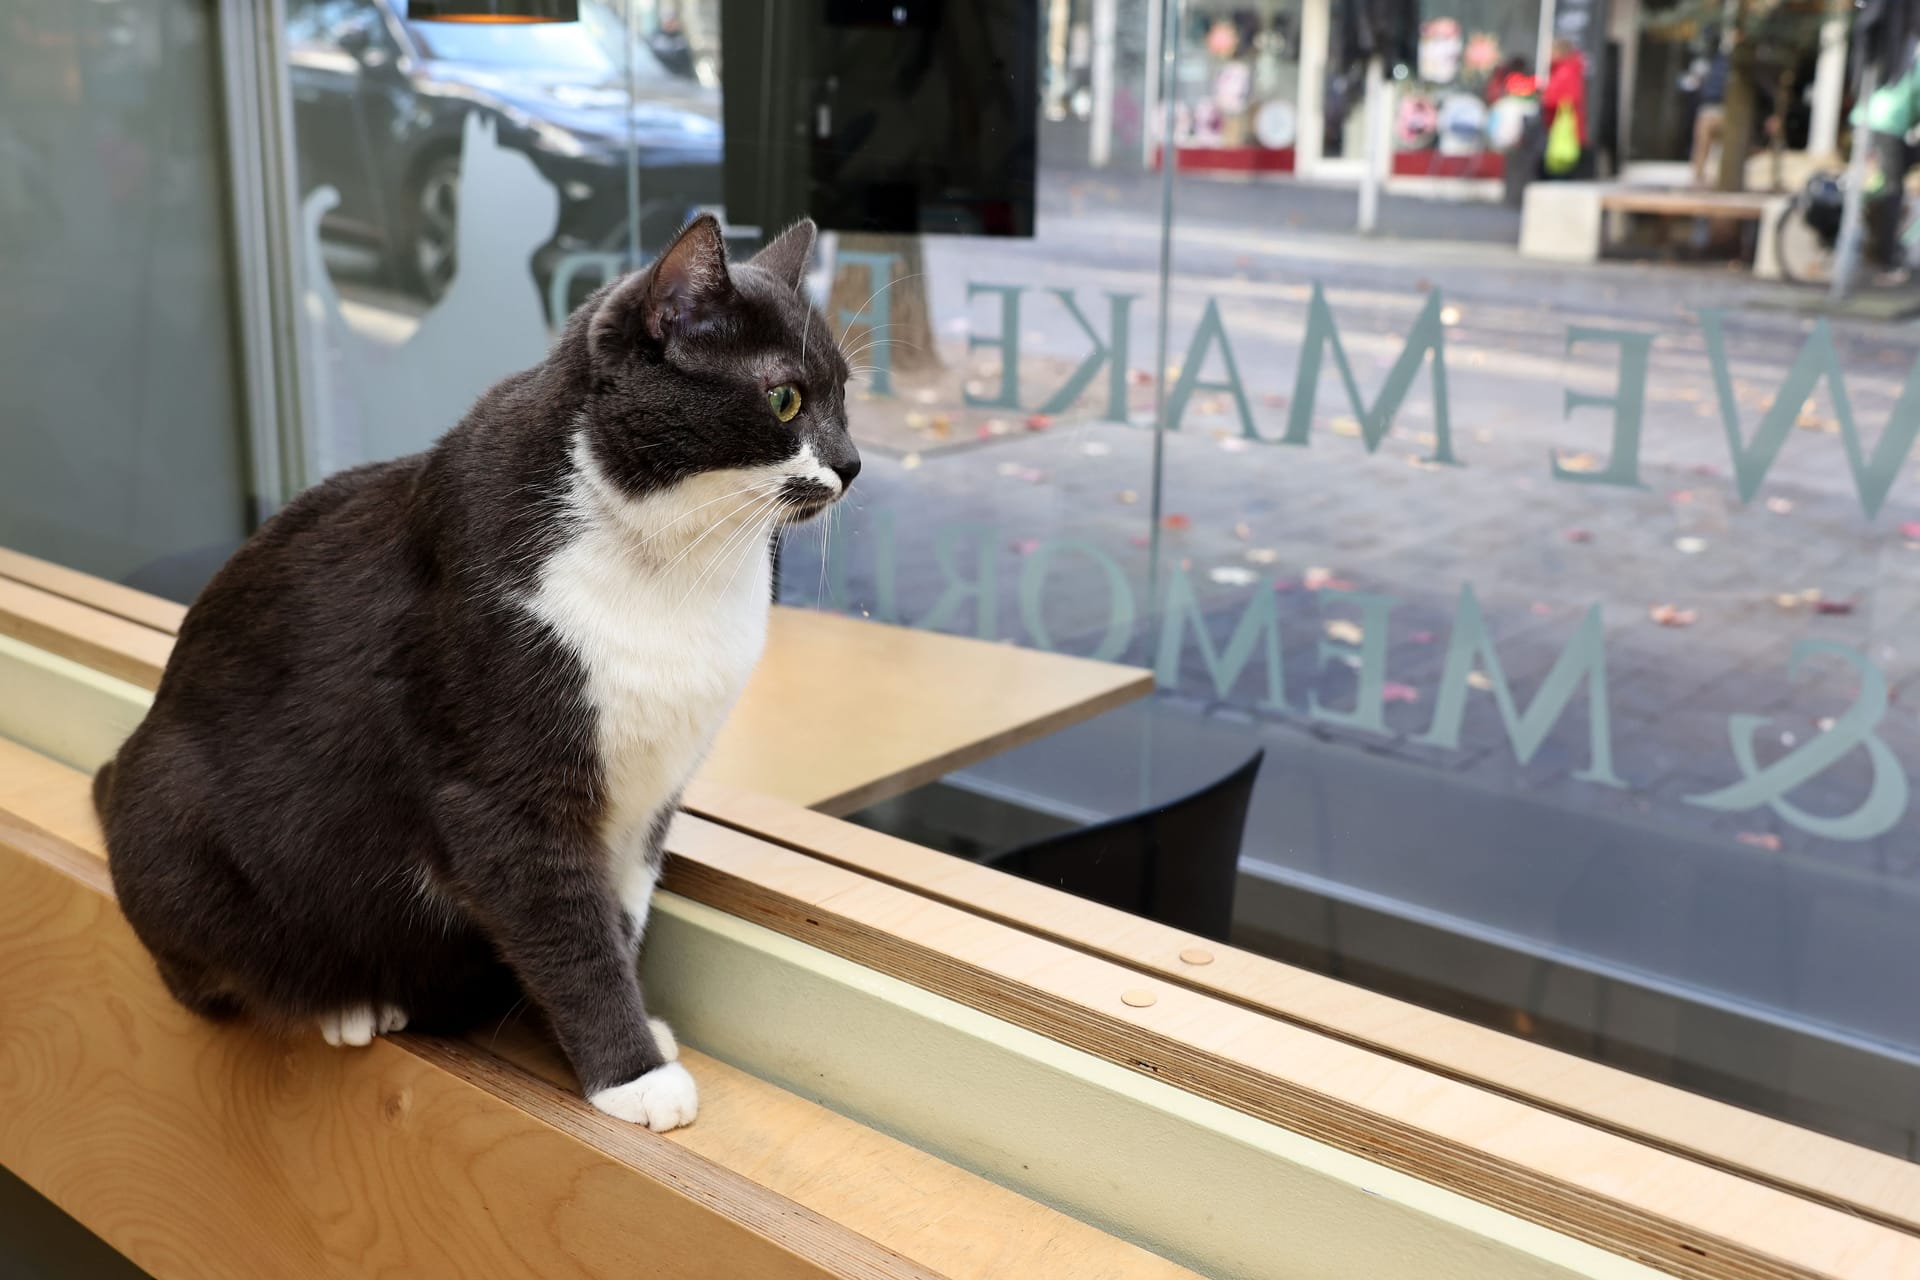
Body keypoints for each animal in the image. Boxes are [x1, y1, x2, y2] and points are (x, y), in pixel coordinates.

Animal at [90, 217, 856, 1128]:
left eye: (847, 396)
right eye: (785, 400)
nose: (852, 464)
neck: (673, 564)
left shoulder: (647, 801)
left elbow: (620, 911)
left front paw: (638, 1028)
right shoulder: (498, 790)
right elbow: (567, 931)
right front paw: (631, 1072)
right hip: (175, 826)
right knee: (211, 974)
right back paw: (347, 1002)